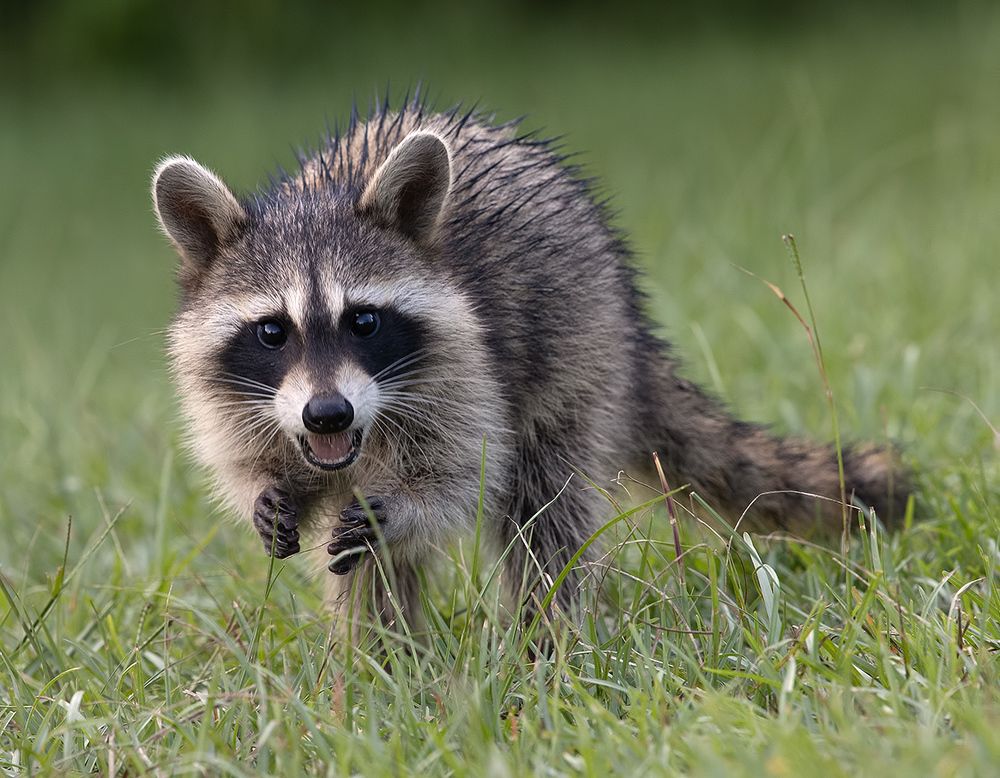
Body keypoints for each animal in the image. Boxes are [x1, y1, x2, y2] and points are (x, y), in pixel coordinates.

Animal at [152, 97, 908, 632]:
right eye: (271, 331)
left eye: (362, 321)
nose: (327, 414)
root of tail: (630, 317)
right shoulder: (236, 398)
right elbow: (248, 462)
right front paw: (267, 494)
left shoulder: (466, 367)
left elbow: (465, 477)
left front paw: (413, 507)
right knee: (366, 570)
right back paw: (380, 661)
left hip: (578, 351)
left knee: (547, 506)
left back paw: (544, 639)